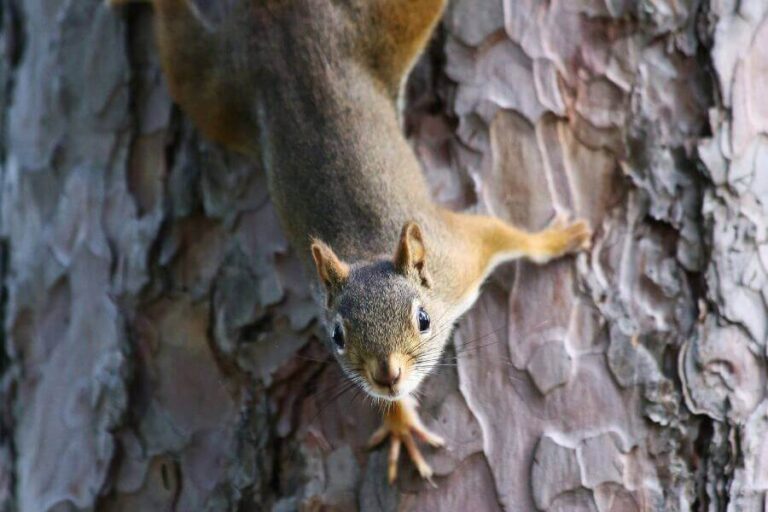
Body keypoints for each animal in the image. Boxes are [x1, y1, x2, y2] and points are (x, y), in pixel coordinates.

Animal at [109, 0, 592, 484]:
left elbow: (507, 234)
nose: (387, 374)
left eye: (423, 320)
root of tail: (281, 22)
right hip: (216, 86)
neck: (370, 253)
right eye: (337, 336)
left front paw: (558, 238)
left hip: (371, 29)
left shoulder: (461, 253)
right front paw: (399, 422)